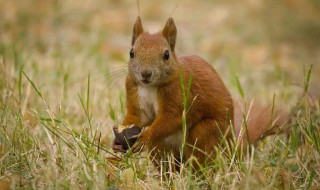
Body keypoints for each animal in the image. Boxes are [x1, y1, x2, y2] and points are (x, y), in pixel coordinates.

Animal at [112, 16, 288, 168]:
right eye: (131, 52)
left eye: (166, 54)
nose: (145, 73)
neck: (150, 87)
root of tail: (231, 146)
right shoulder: (135, 91)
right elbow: (139, 117)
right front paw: (117, 142)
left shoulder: (181, 94)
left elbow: (172, 118)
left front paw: (145, 137)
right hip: (162, 148)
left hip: (207, 133)